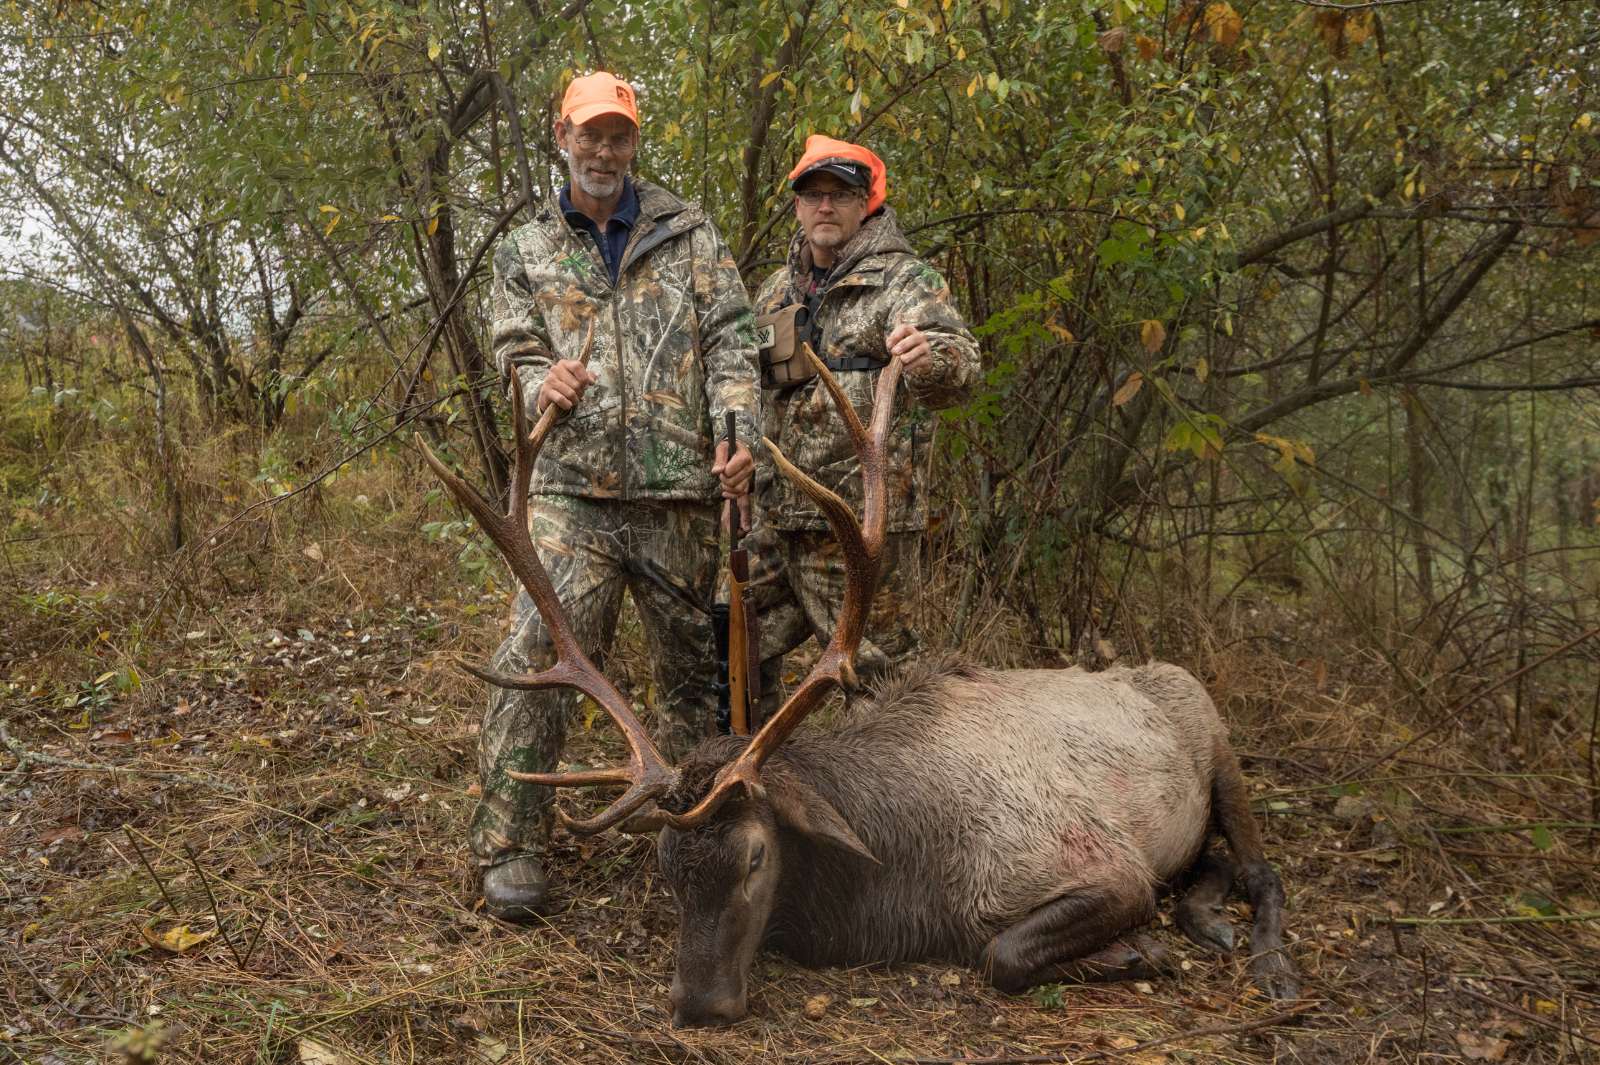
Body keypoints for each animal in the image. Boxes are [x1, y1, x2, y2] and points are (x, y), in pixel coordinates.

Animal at [425, 358, 1299, 1029]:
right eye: (668, 866)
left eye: (755, 855)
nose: (698, 1003)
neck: (903, 881)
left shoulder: (1106, 863)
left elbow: (1003, 951)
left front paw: (1139, 950)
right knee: (1215, 861)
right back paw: (1207, 915)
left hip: (1219, 742)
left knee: (1261, 867)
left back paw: (1262, 957)